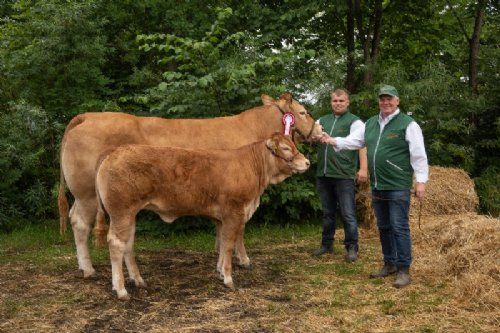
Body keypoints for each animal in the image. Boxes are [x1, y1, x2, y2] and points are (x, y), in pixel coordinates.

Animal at [59, 92, 324, 276]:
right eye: (303, 112)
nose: (319, 130)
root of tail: (87, 116)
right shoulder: (238, 199)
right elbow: (238, 231)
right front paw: (243, 260)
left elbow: (222, 229)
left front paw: (221, 254)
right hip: (87, 194)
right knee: (80, 223)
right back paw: (89, 269)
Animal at [94, 134, 308, 300]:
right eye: (286, 148)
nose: (307, 162)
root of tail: (115, 151)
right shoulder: (233, 213)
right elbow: (228, 245)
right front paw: (229, 279)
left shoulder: (222, 217)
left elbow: (222, 244)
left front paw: (220, 271)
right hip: (121, 212)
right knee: (116, 243)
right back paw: (121, 290)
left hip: (130, 214)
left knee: (128, 243)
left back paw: (138, 280)